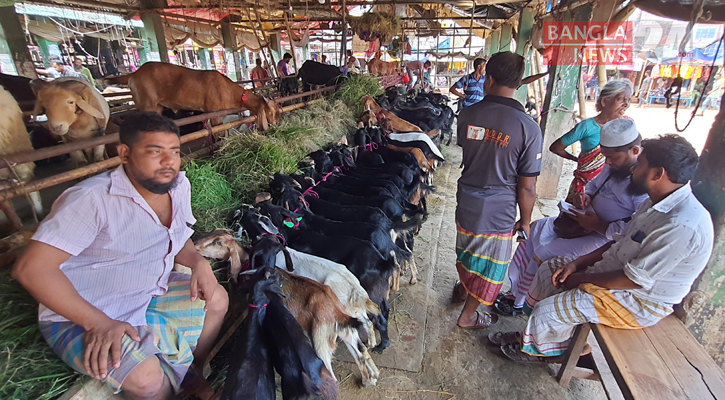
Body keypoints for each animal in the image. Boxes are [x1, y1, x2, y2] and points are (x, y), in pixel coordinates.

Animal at [103, 62, 278, 131]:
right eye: (271, 112)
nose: (277, 123)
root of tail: (133, 75)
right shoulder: (213, 113)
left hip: (157, 106)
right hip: (147, 103)